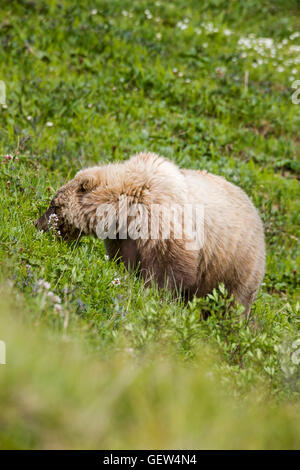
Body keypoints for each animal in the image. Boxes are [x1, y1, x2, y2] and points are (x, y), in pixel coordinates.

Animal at [35, 152, 264, 316]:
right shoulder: (124, 237)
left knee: (235, 300)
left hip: (237, 262)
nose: (38, 224)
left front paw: (155, 295)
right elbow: (124, 261)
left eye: (54, 205)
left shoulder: (163, 224)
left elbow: (169, 270)